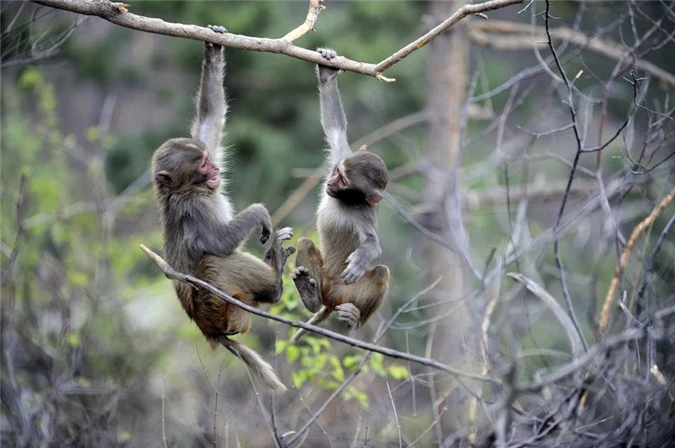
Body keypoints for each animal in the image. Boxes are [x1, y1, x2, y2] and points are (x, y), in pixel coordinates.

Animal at [154, 28, 296, 392]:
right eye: (203, 166)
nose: (216, 170)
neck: (191, 189)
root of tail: (209, 330)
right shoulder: (196, 206)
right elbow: (218, 243)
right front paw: (259, 213)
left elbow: (210, 120)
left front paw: (213, 47)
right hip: (216, 305)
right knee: (215, 263)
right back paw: (275, 282)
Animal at [290, 49, 390, 342]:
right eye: (337, 171)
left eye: (344, 181)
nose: (331, 182)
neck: (345, 199)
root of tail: (330, 299)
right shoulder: (343, 155)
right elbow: (334, 126)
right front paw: (327, 73)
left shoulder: (364, 211)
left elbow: (371, 242)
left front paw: (362, 257)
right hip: (323, 281)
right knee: (306, 244)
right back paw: (310, 295)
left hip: (347, 293)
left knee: (381, 273)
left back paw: (354, 320)